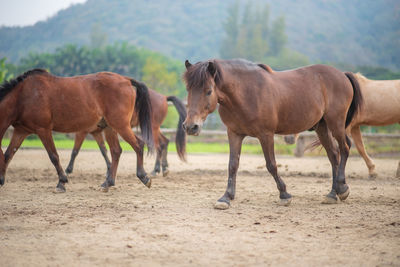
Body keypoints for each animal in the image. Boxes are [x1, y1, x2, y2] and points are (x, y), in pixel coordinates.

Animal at [0, 69, 154, 194]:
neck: (23, 96)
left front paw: (61, 182)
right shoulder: (20, 131)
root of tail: (126, 80)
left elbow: (53, 156)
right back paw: (107, 183)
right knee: (116, 151)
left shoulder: (43, 130)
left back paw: (143, 177)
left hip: (120, 125)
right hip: (110, 127)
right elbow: (8, 155)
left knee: (138, 145)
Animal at [184, 59, 362, 210]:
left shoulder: (266, 135)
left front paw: (284, 194)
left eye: (208, 91)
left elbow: (271, 165)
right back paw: (332, 194)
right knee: (333, 154)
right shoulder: (234, 134)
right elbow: (233, 165)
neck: (245, 93)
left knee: (345, 149)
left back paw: (342, 188)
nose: (190, 126)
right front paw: (226, 197)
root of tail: (342, 74)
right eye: (188, 90)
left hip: (335, 123)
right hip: (322, 127)